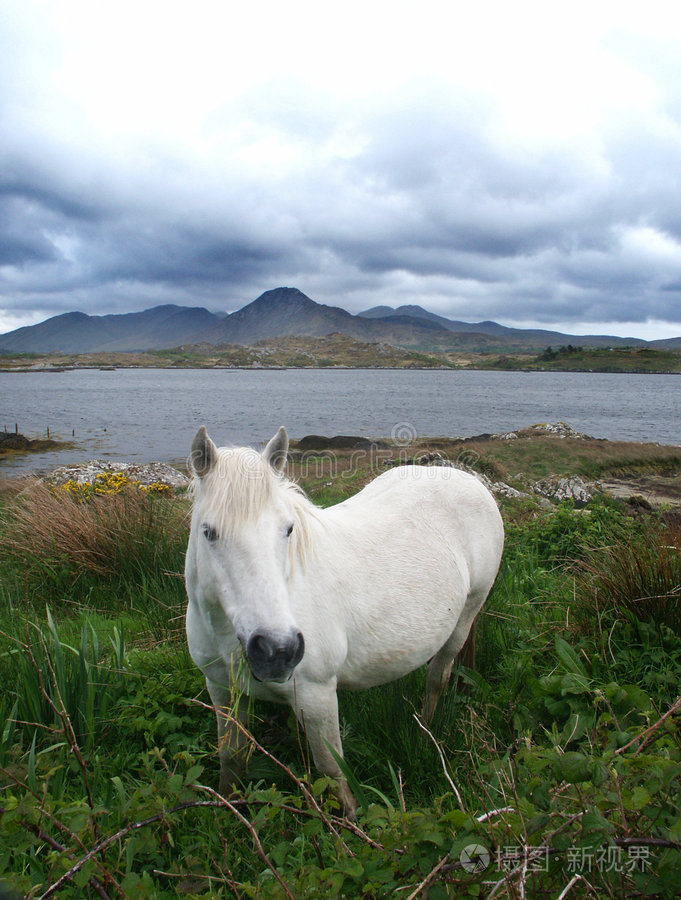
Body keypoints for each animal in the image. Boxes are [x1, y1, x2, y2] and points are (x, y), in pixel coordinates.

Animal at [184, 426, 504, 815]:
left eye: (288, 529)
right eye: (209, 532)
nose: (278, 650)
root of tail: (470, 480)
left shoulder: (316, 696)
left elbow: (332, 772)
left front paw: (350, 822)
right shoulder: (220, 688)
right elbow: (231, 756)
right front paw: (227, 807)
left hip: (468, 612)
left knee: (438, 676)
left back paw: (425, 731)